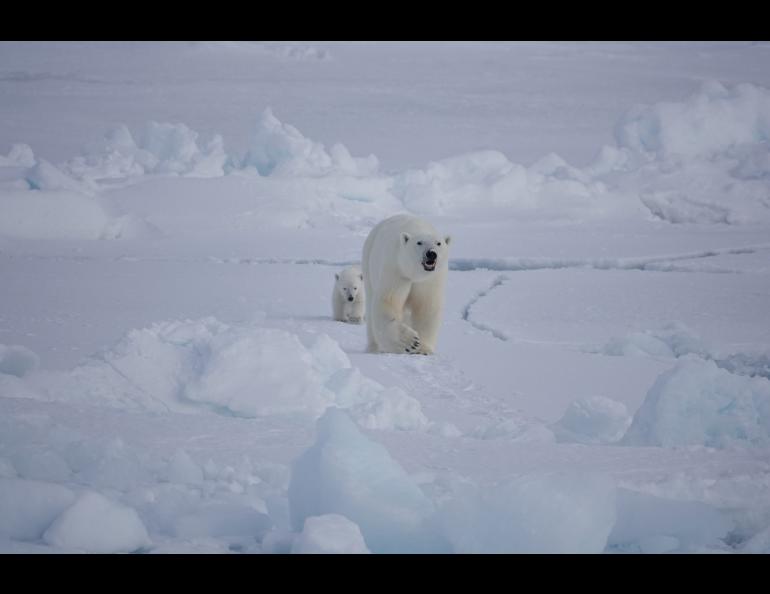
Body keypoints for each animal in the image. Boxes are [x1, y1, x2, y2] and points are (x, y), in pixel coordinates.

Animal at [362, 213, 450, 352]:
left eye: (439, 243)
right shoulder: (397, 271)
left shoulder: (429, 280)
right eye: (419, 242)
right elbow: (388, 302)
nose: (431, 253)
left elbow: (426, 307)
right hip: (368, 262)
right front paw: (411, 342)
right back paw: (374, 347)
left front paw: (424, 349)